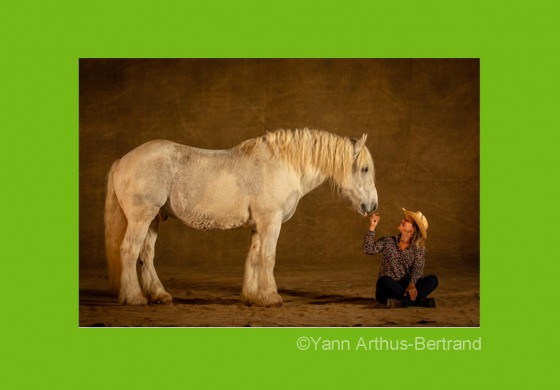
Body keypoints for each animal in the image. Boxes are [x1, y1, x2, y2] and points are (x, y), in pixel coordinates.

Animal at [105, 129, 376, 306]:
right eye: (364, 169)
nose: (372, 206)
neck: (282, 165)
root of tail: (122, 160)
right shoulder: (271, 221)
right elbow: (268, 257)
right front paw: (271, 297)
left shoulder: (259, 225)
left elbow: (253, 258)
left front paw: (252, 297)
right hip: (142, 217)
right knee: (129, 251)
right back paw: (134, 298)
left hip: (154, 220)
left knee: (146, 256)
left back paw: (159, 295)